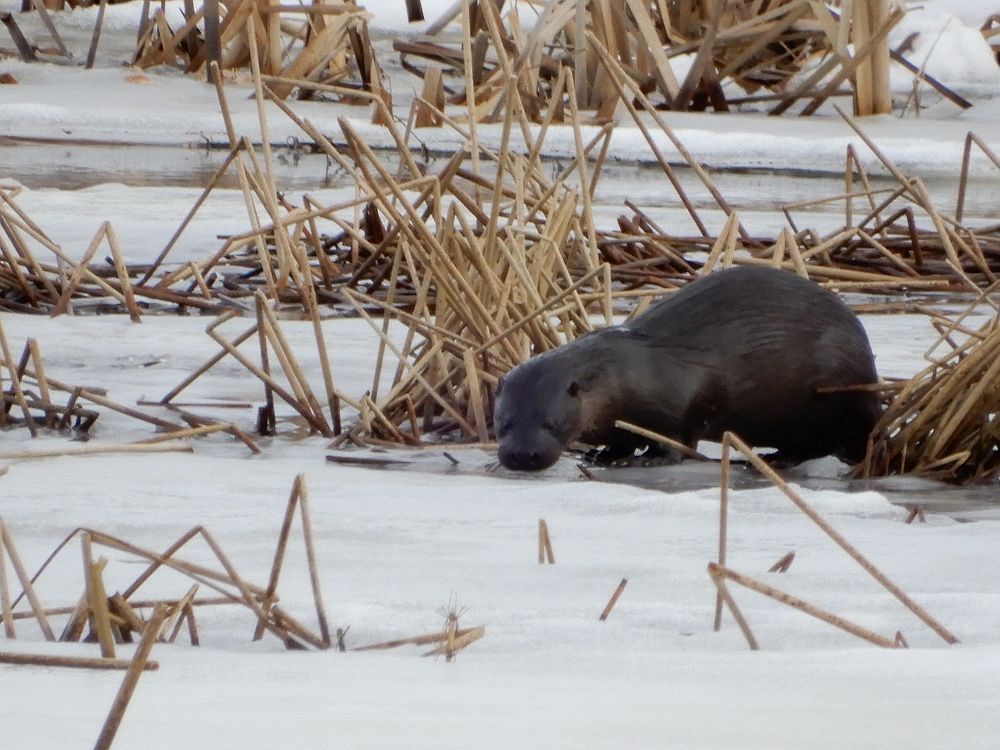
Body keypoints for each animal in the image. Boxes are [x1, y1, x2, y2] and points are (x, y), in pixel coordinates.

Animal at [496, 268, 880, 472]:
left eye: (550, 423)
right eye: (504, 424)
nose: (522, 456)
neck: (626, 372)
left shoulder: (680, 403)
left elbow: (678, 438)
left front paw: (650, 459)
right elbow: (622, 438)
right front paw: (603, 454)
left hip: (834, 390)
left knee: (829, 441)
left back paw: (775, 459)